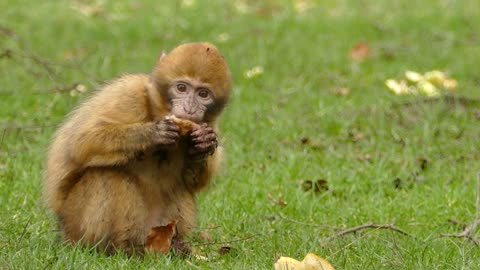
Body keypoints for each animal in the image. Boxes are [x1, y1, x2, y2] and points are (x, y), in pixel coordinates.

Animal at [44, 42, 232, 255]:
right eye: (181, 88)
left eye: (203, 94)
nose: (190, 109)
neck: (156, 109)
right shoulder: (129, 95)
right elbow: (81, 142)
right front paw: (153, 133)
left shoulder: (211, 124)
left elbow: (193, 182)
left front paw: (202, 145)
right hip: (74, 225)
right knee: (105, 175)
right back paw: (115, 250)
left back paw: (174, 246)